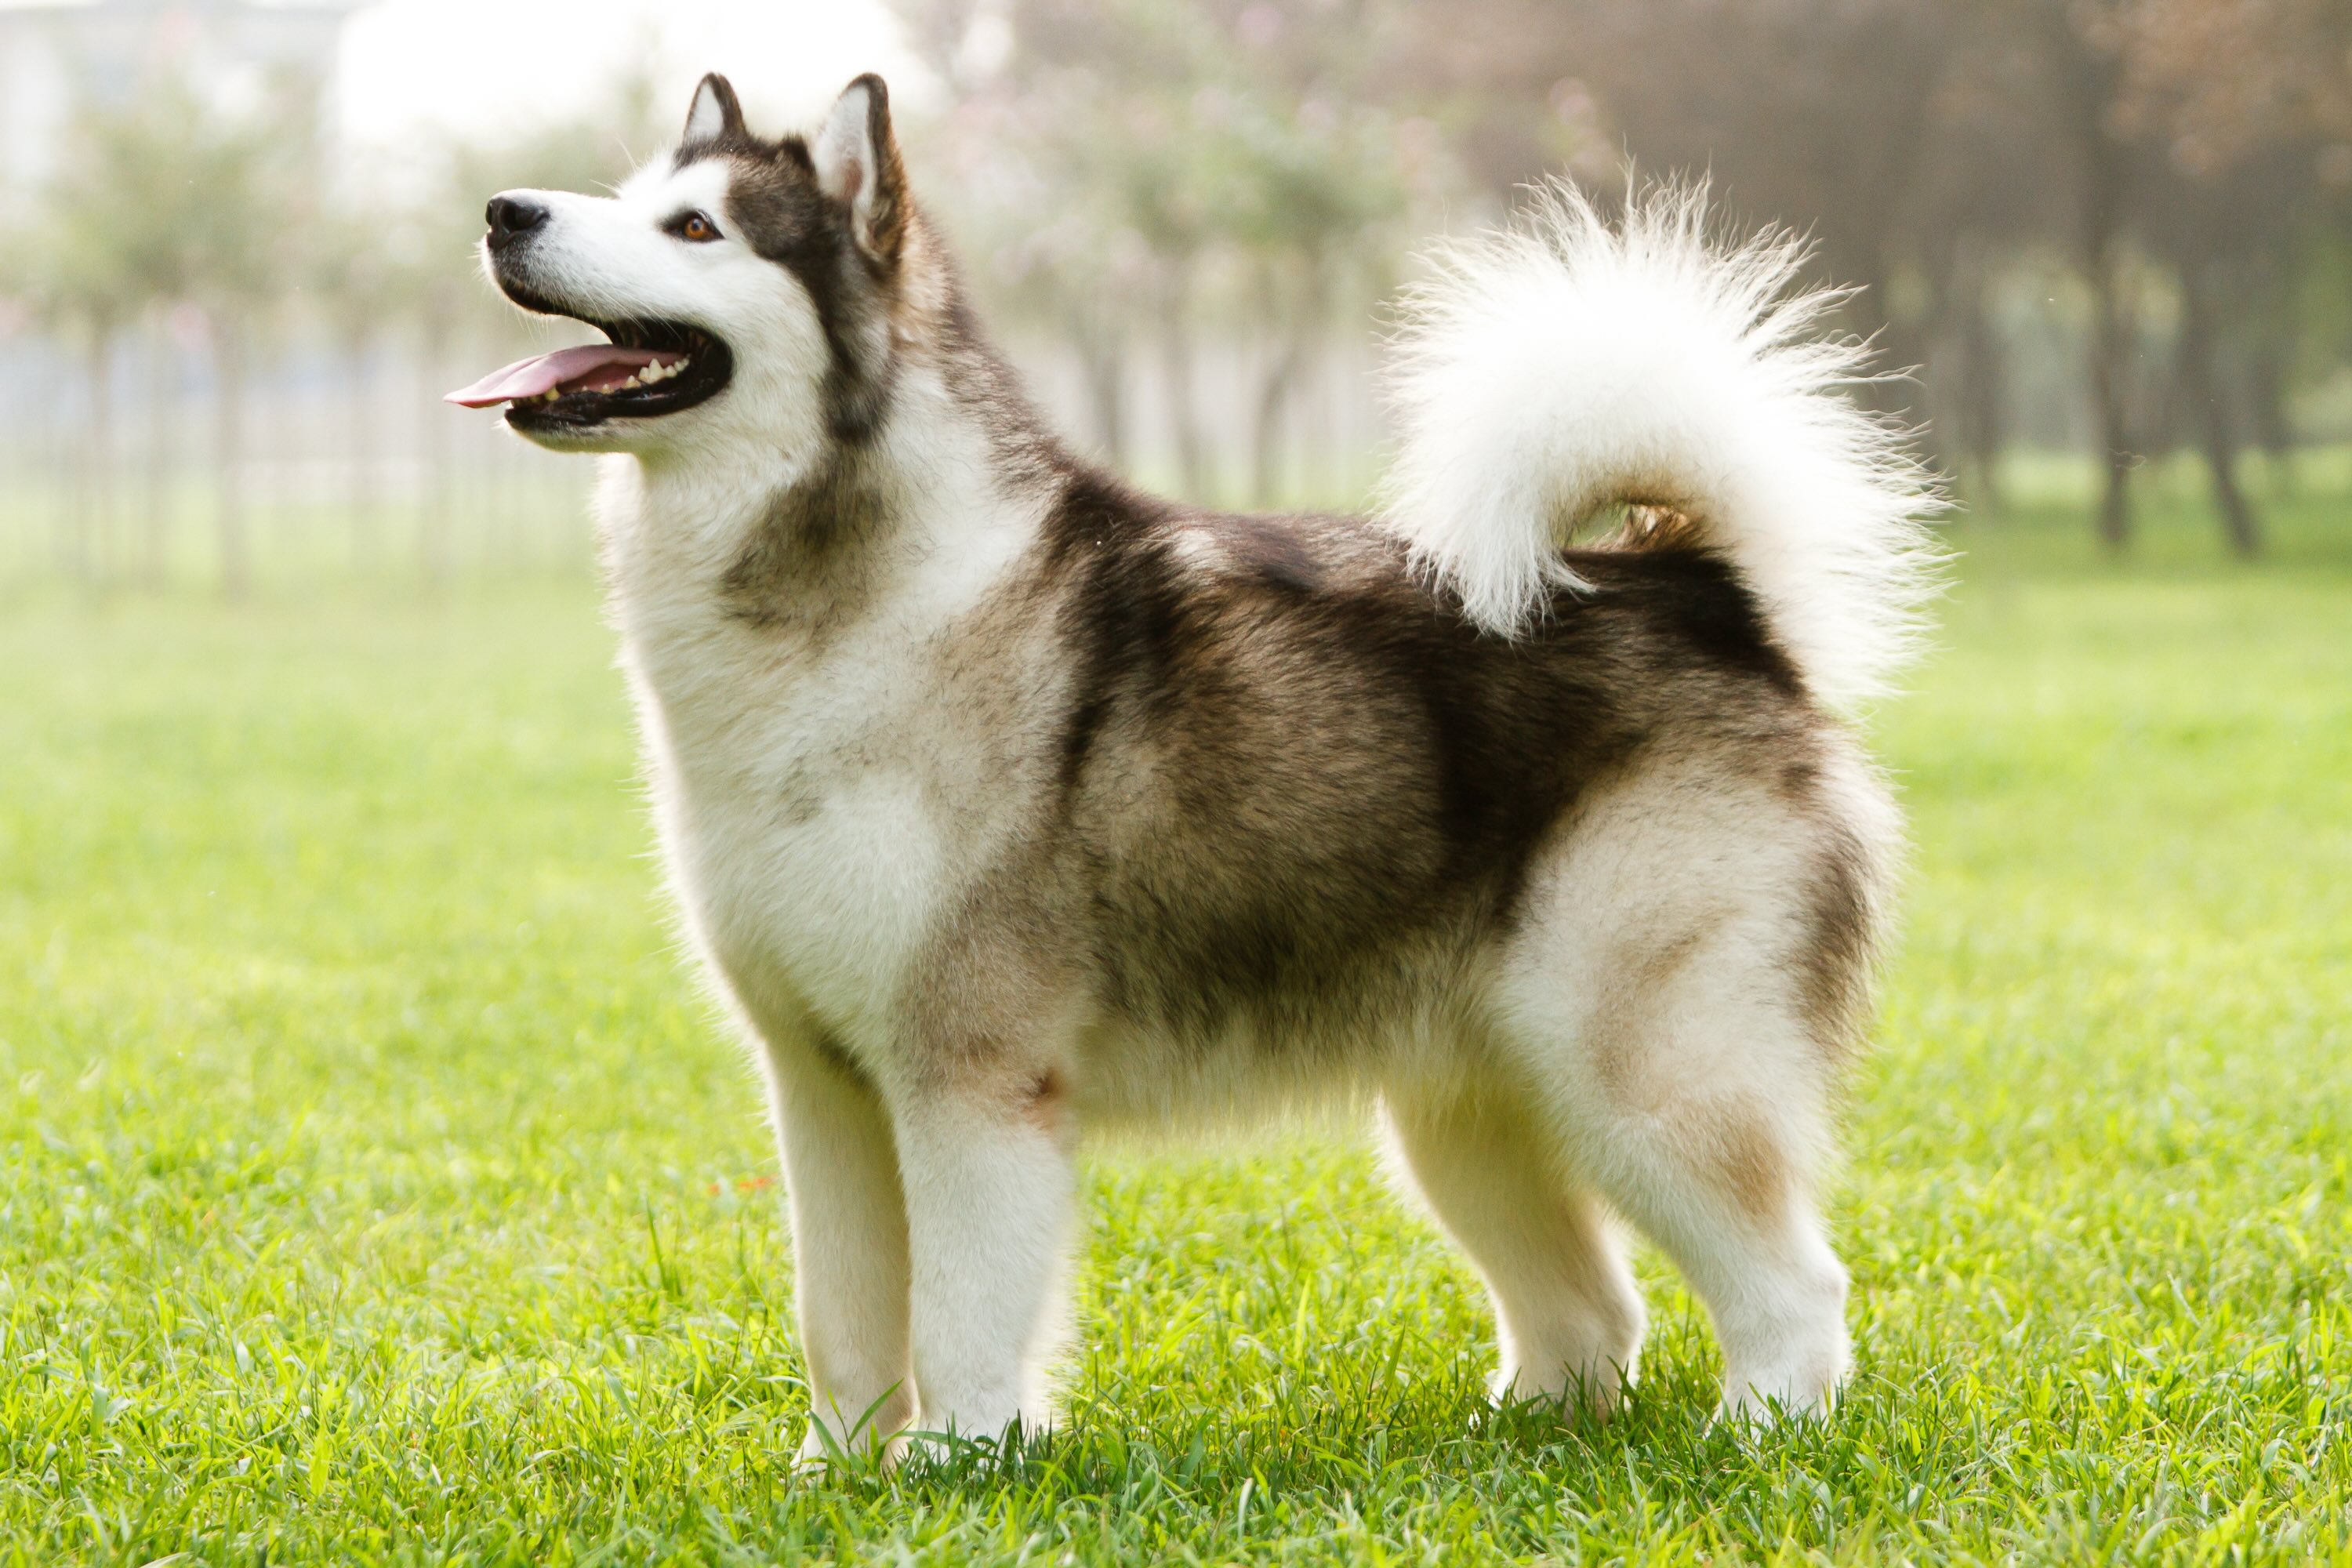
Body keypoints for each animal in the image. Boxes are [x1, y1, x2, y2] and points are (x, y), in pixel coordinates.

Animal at [449, 67, 1938, 1467]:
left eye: (693, 227)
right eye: (626, 193)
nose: (505, 211)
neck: (838, 600)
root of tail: (1699, 589)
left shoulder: (968, 1076)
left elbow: (962, 1314)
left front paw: (956, 1467)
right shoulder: (821, 1085)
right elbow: (843, 1319)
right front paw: (839, 1474)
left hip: (1639, 1067)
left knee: (1794, 1286)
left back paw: (1759, 1437)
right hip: (1466, 1107)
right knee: (1592, 1314)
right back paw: (1520, 1436)